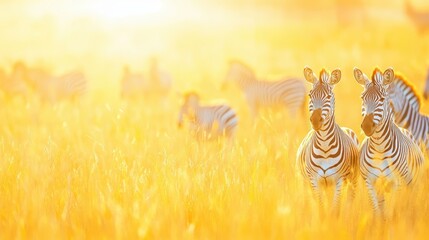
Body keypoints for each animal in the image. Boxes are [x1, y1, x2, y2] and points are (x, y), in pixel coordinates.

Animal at [294, 67, 358, 214]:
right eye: (310, 95)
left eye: (328, 97)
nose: (315, 121)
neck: (324, 146)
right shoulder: (314, 181)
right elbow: (321, 209)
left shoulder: (339, 180)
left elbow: (335, 210)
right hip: (306, 182)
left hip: (352, 180)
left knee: (350, 200)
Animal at [352, 66, 422, 217]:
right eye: (362, 98)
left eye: (382, 99)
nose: (367, 126)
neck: (379, 147)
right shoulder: (370, 183)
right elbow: (378, 213)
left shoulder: (397, 183)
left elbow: (392, 212)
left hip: (412, 182)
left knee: (410, 203)